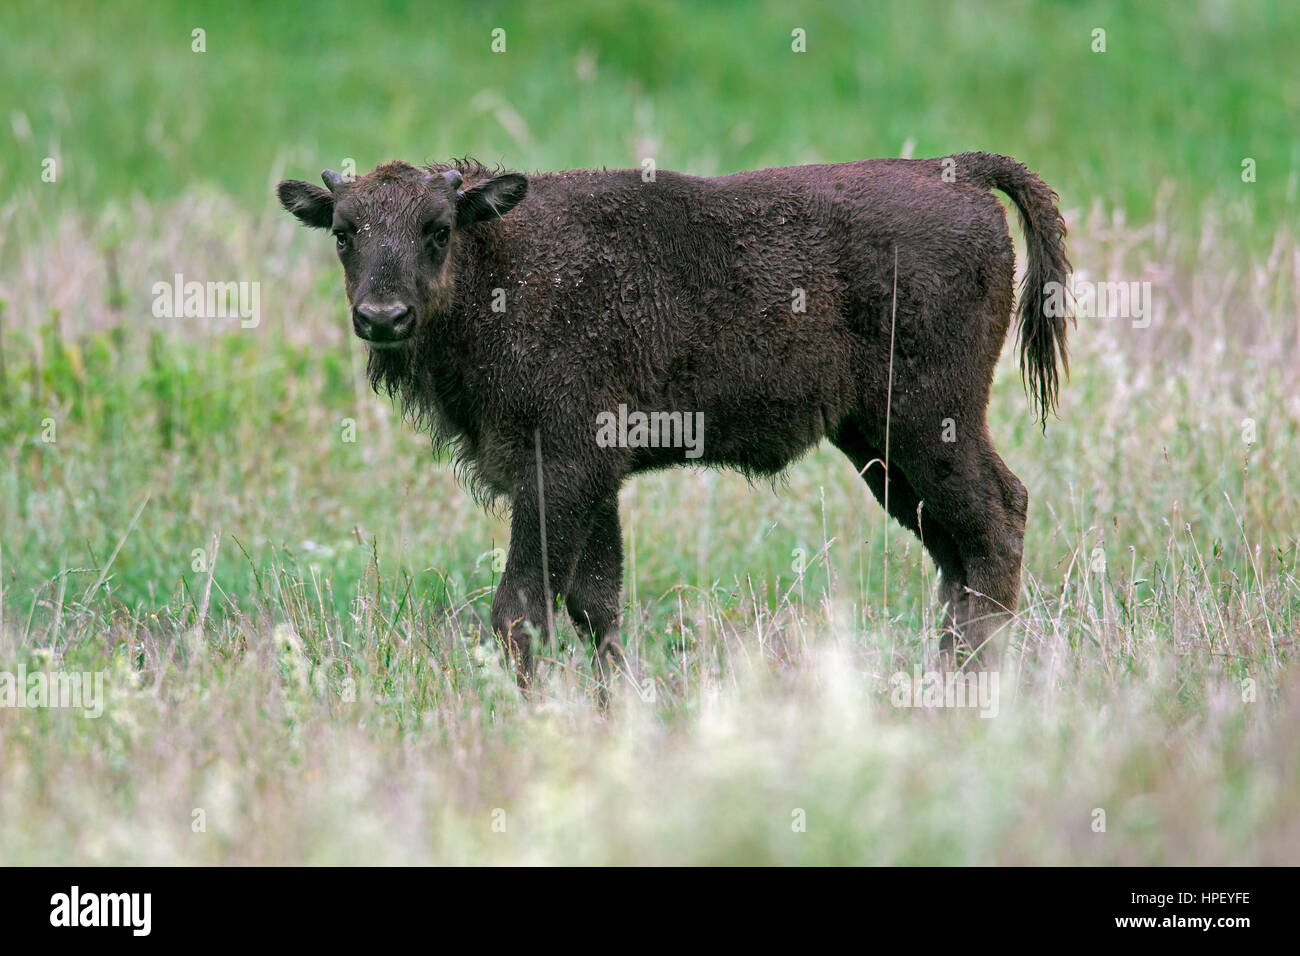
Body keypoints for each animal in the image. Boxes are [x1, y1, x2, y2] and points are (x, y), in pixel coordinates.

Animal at [274, 149, 1066, 686]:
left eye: (437, 229)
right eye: (344, 231)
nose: (383, 317)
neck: (501, 259)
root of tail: (956, 173)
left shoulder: (561, 470)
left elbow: (523, 605)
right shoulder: (593, 484)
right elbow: (596, 603)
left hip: (930, 424)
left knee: (997, 519)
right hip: (879, 446)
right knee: (955, 550)